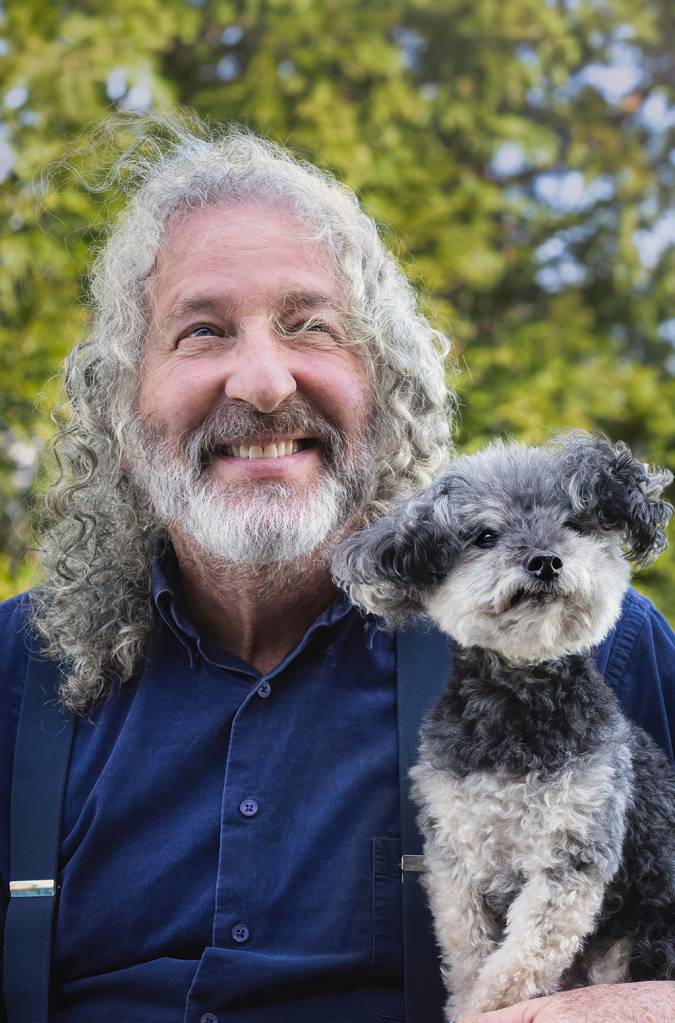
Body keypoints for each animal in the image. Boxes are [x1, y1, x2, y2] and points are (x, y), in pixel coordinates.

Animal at [331, 433, 675, 1023]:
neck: (518, 712)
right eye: (485, 536)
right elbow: (470, 956)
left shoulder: (572, 854)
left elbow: (517, 965)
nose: (546, 561)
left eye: (575, 524)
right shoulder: (456, 858)